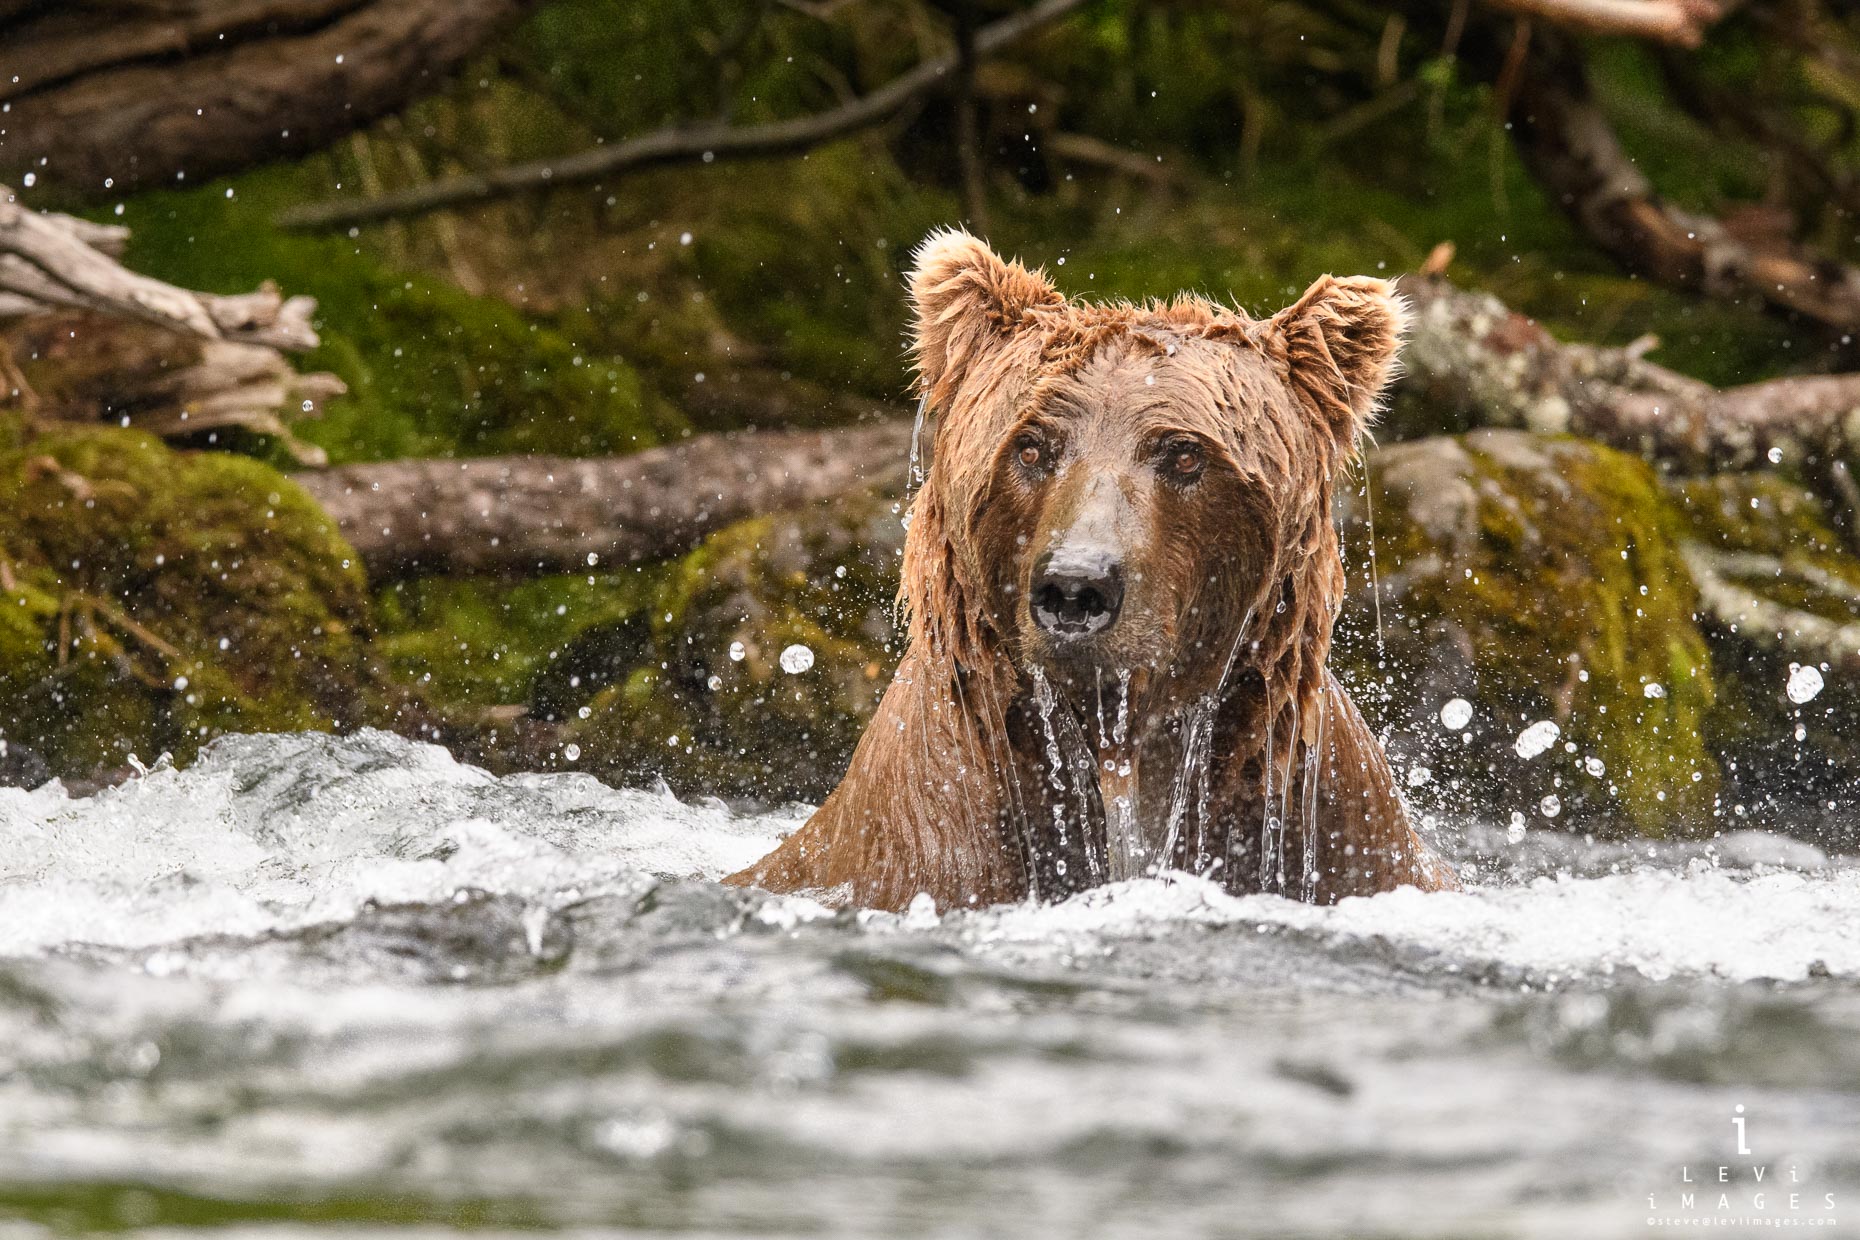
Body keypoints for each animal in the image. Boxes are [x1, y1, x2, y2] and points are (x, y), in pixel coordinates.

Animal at [717, 230, 1458, 910]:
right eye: (1031, 447)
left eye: (1184, 454)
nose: (1076, 588)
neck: (1124, 760)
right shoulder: (935, 845)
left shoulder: (1324, 834)